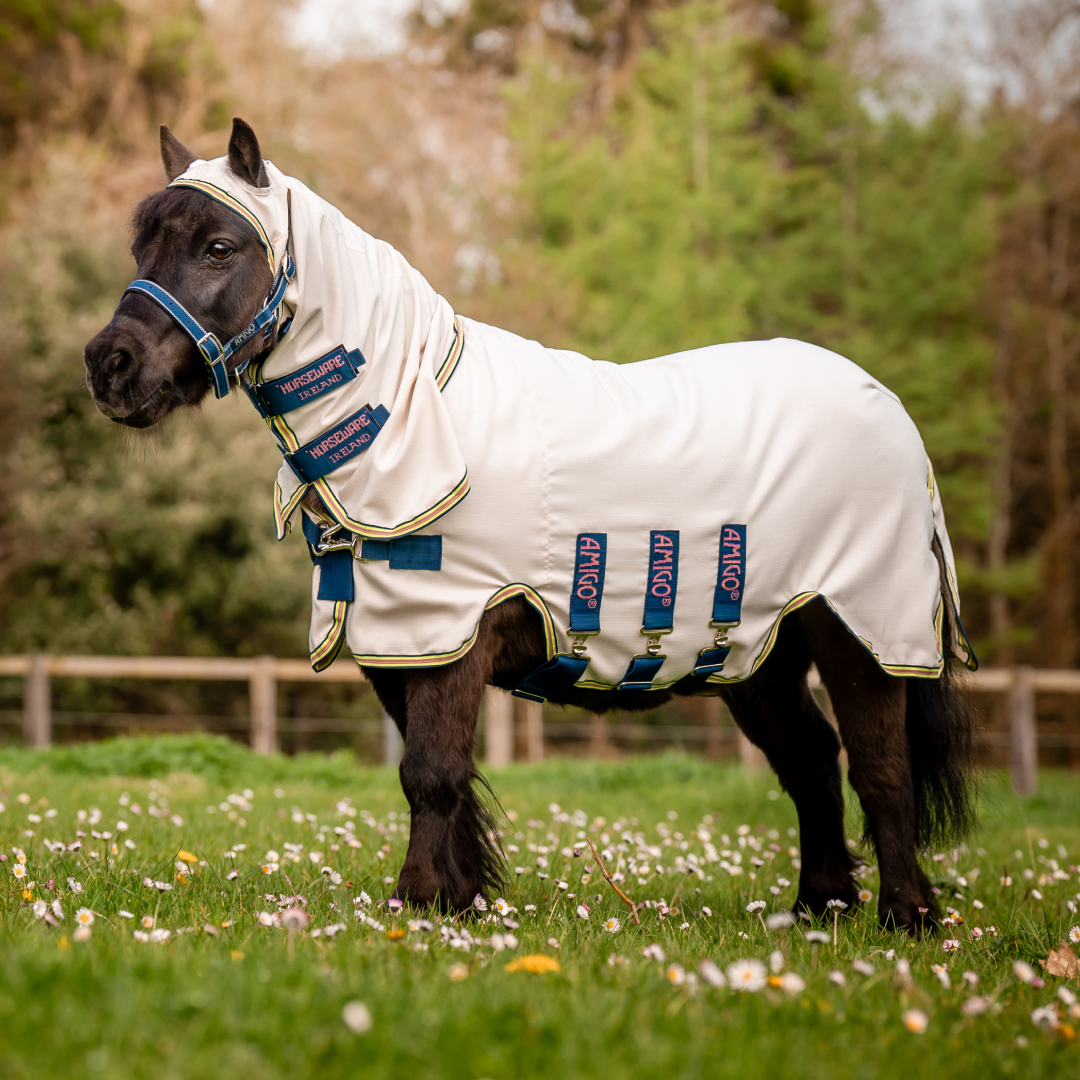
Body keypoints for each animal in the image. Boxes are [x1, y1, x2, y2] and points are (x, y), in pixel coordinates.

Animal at [83, 118, 976, 934]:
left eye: (220, 246)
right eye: (141, 244)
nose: (109, 365)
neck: (418, 419)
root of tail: (886, 407)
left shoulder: (452, 640)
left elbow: (432, 774)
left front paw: (417, 905)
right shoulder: (400, 643)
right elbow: (436, 775)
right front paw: (458, 901)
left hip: (858, 628)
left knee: (879, 770)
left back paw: (906, 917)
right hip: (759, 654)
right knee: (812, 762)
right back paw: (820, 907)